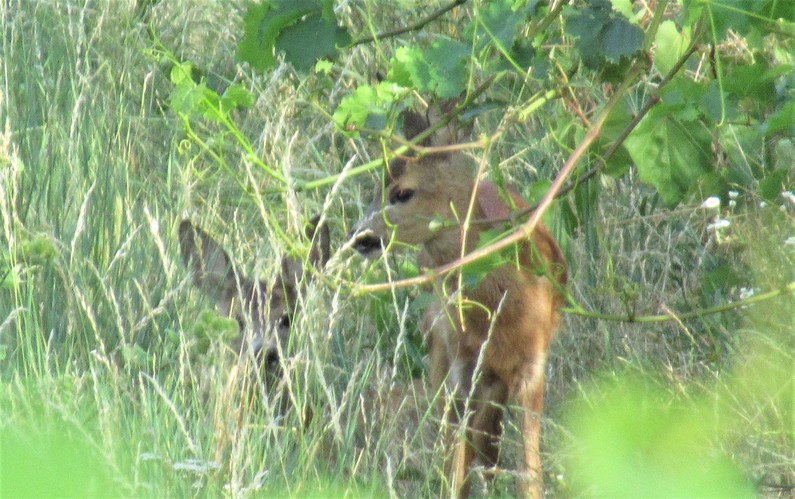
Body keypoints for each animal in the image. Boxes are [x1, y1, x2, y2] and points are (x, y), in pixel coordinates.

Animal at [348, 106, 564, 499]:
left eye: (402, 192)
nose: (359, 237)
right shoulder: (461, 364)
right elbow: (458, 461)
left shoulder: (532, 363)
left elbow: (529, 471)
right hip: (439, 345)